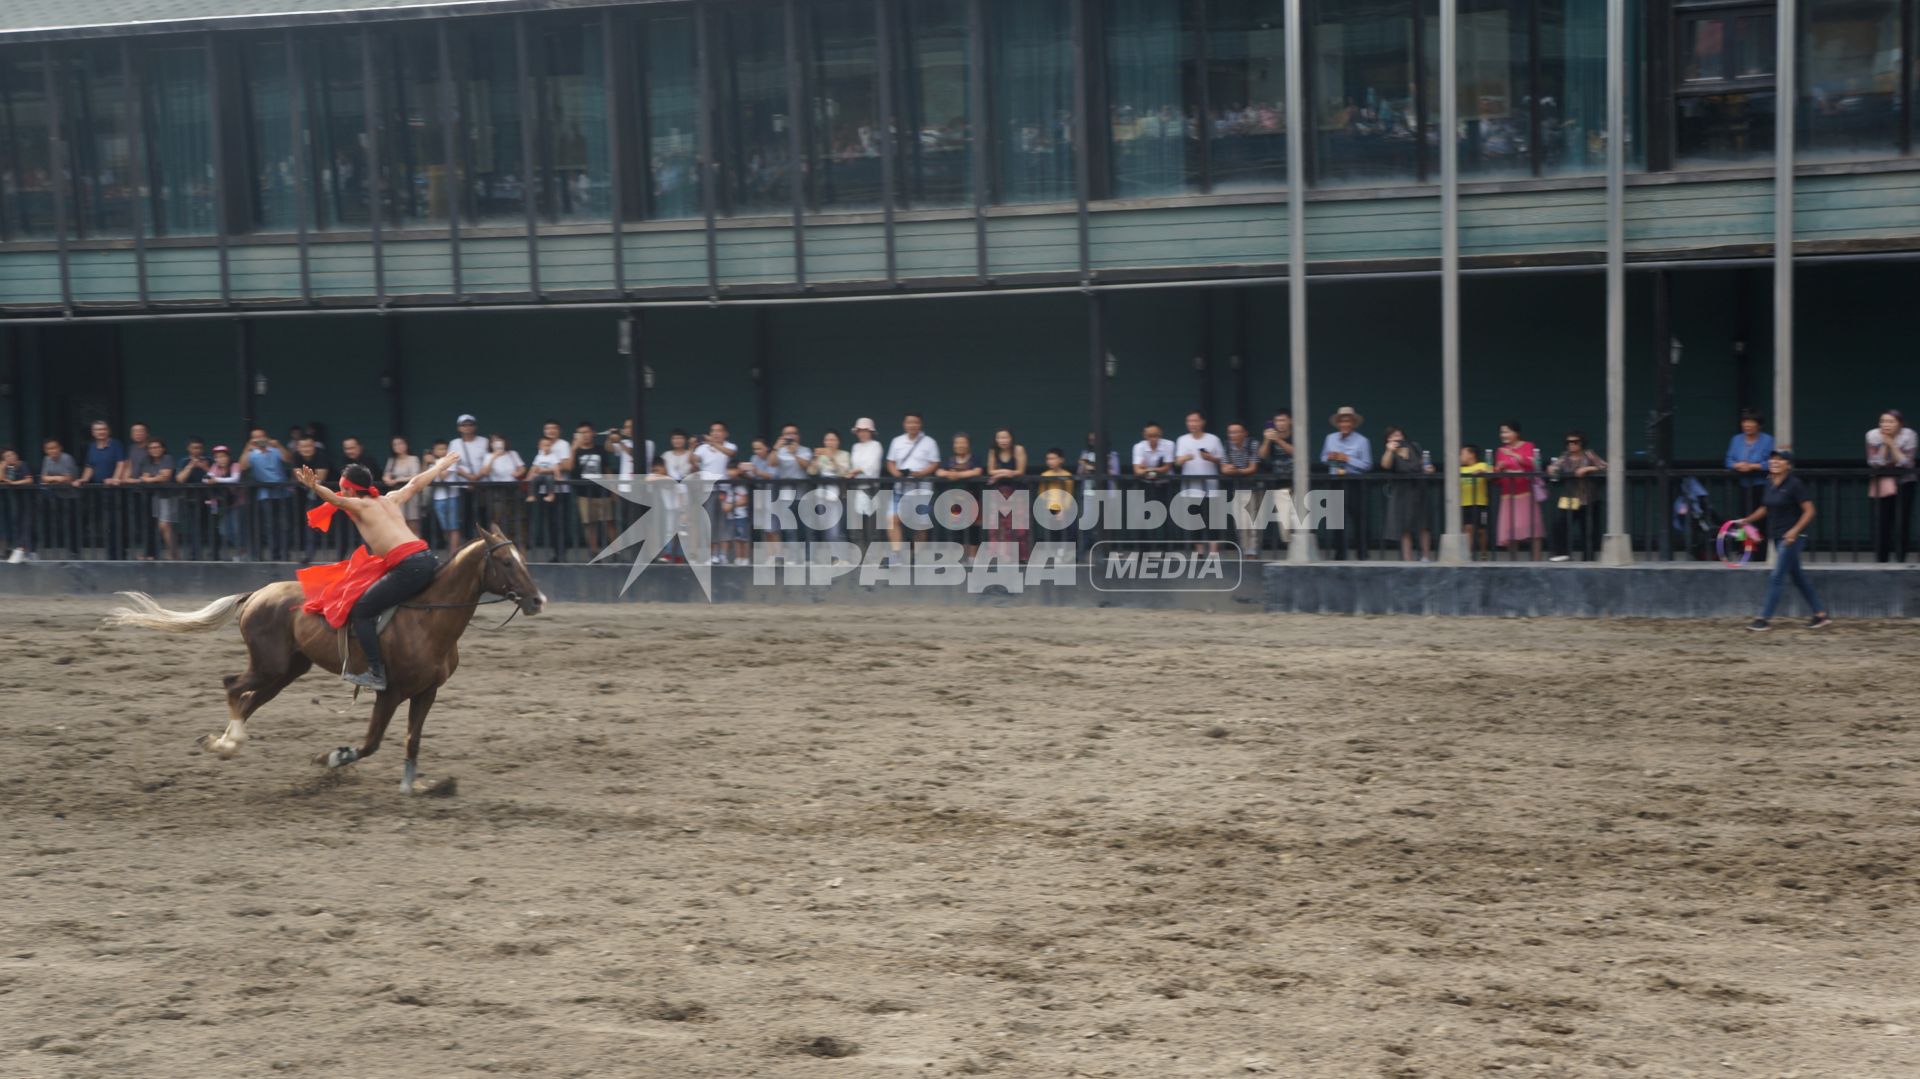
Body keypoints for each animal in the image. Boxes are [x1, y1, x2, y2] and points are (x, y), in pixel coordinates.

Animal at [105, 526, 545, 791]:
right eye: (506, 561)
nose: (537, 599)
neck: (427, 618)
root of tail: (256, 594)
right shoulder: (389, 692)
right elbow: (369, 743)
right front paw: (331, 757)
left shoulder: (426, 692)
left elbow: (412, 740)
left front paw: (413, 786)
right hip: (269, 666)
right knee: (232, 686)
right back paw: (229, 744)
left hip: (287, 670)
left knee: (250, 700)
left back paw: (224, 742)